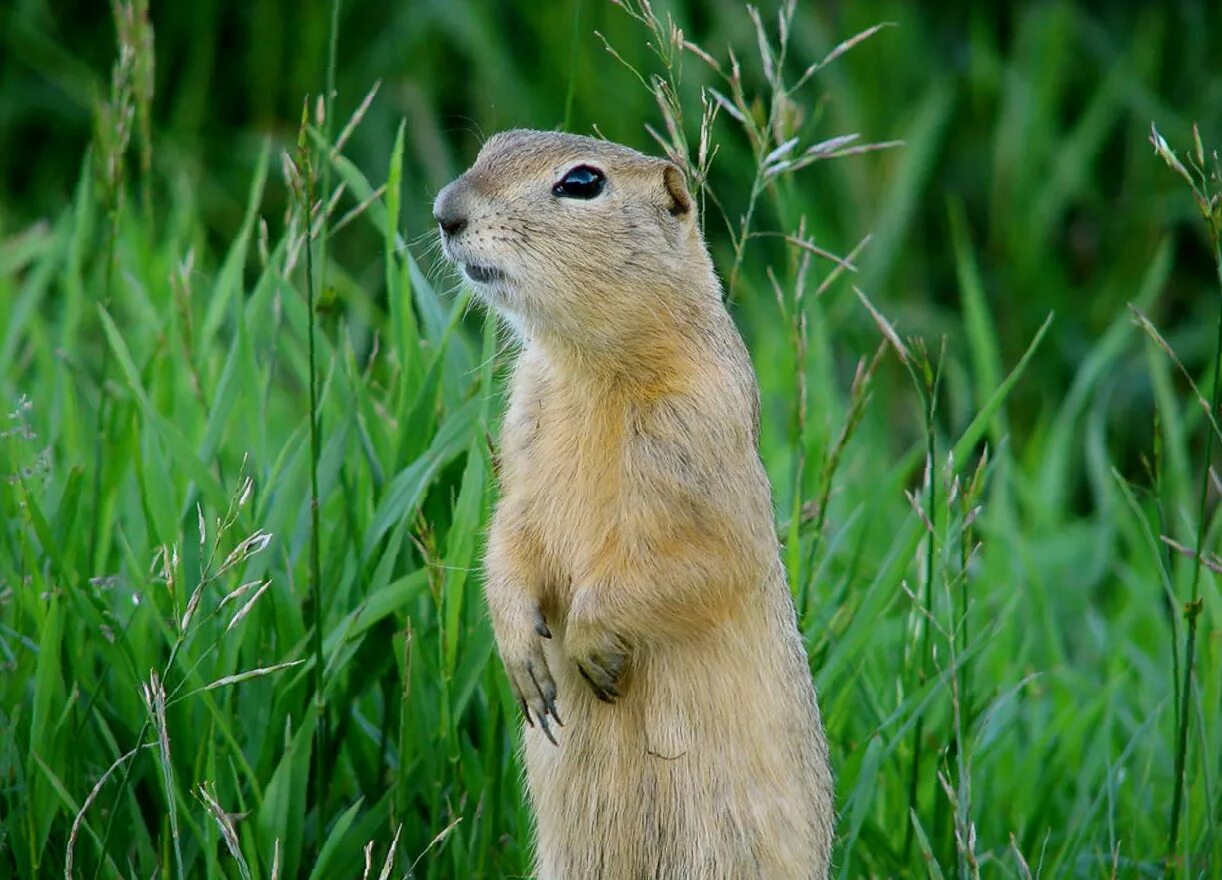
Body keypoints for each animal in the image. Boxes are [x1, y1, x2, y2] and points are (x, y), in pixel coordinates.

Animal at [435, 127, 835, 875]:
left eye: (582, 182)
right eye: (490, 146)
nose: (446, 212)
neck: (589, 369)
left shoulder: (699, 436)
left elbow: (695, 560)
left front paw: (593, 644)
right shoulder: (522, 431)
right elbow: (508, 534)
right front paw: (522, 656)